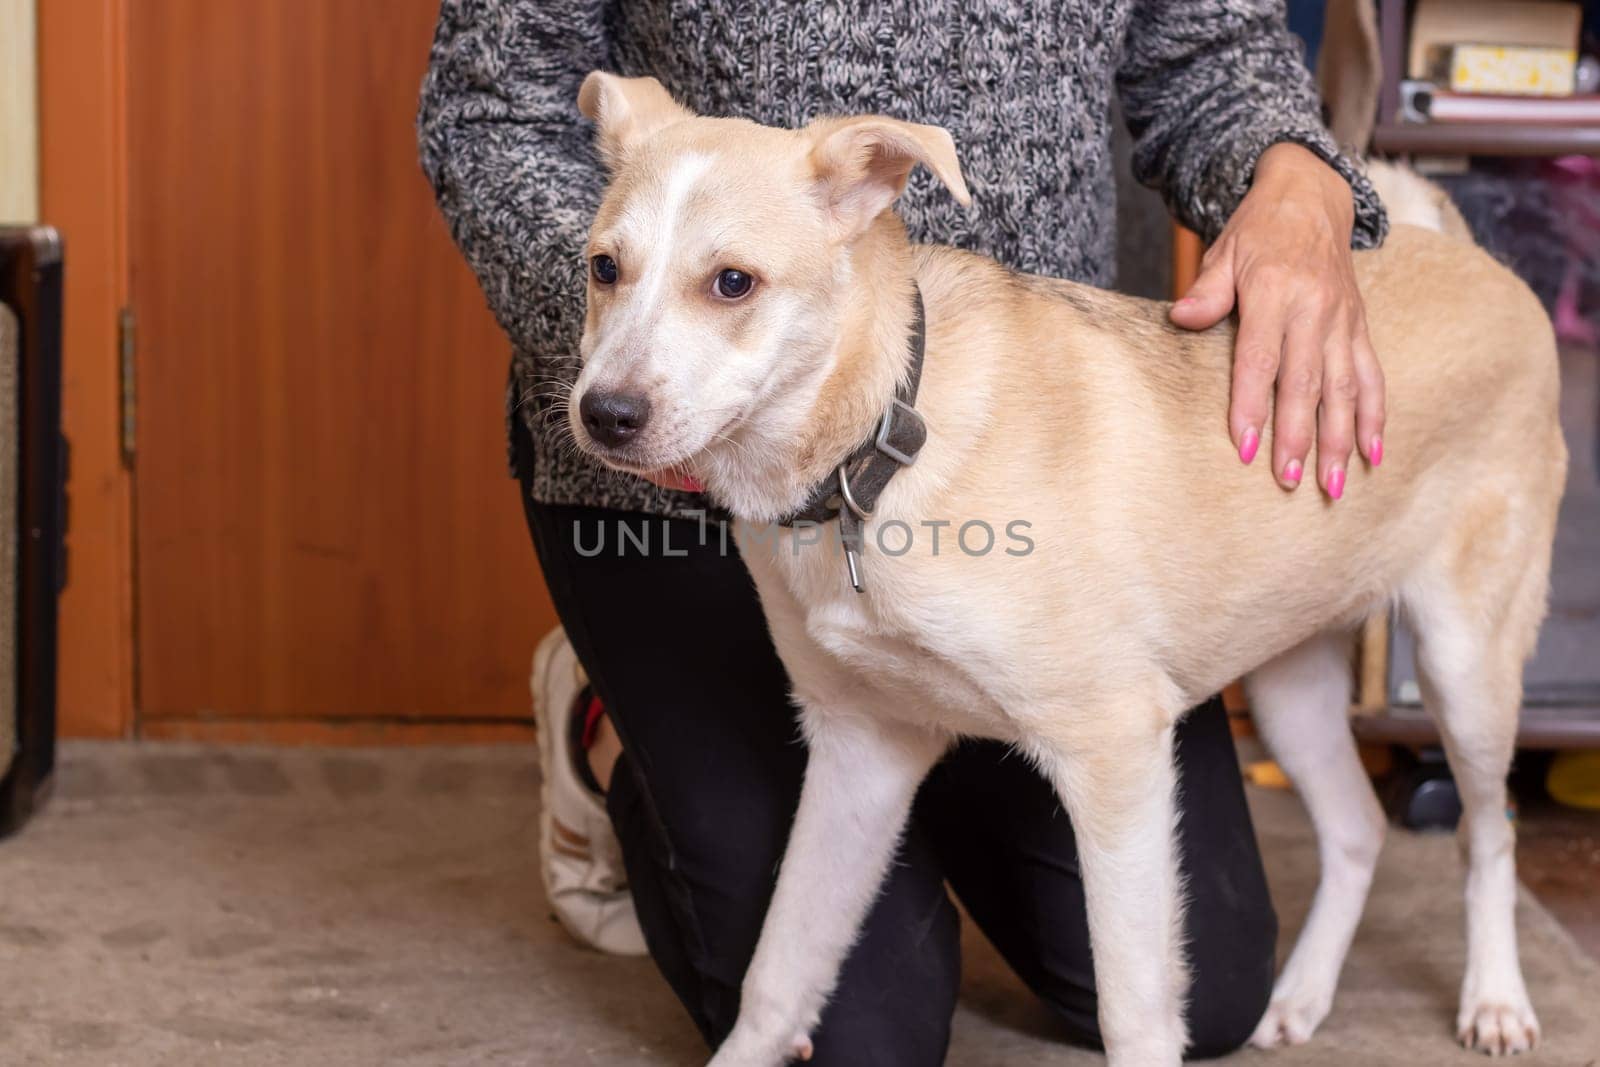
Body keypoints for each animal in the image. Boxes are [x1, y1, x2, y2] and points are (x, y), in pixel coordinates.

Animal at [560, 70, 1561, 1062]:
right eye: (603, 269)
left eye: (733, 282)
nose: (603, 414)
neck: (882, 442)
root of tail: (1473, 262)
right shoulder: (861, 751)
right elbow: (776, 975)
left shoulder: (1115, 752)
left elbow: (1133, 1008)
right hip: (1290, 681)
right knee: (1359, 829)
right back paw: (1303, 996)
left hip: (1464, 666)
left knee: (1487, 837)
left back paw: (1496, 998)